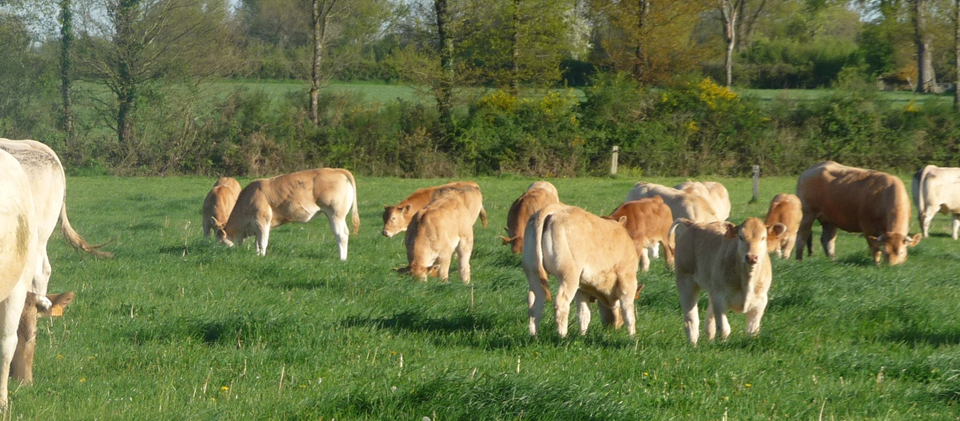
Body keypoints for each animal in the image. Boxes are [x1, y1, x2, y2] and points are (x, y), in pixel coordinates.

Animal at [216, 168, 360, 260]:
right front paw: (256, 255)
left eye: (221, 241)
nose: (217, 251)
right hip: (335, 216)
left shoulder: (263, 221)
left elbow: (263, 242)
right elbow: (257, 242)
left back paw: (341, 259)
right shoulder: (257, 226)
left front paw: (262, 257)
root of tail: (335, 170)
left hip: (336, 214)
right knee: (344, 233)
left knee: (341, 235)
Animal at [523, 203, 639, 338]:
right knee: (561, 303)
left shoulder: (582, 288)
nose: (616, 328)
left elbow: (584, 314)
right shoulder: (628, 278)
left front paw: (582, 336)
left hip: (533, 273)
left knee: (535, 304)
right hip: (568, 275)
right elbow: (628, 312)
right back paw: (562, 336)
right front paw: (632, 337)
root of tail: (556, 208)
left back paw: (534, 336)